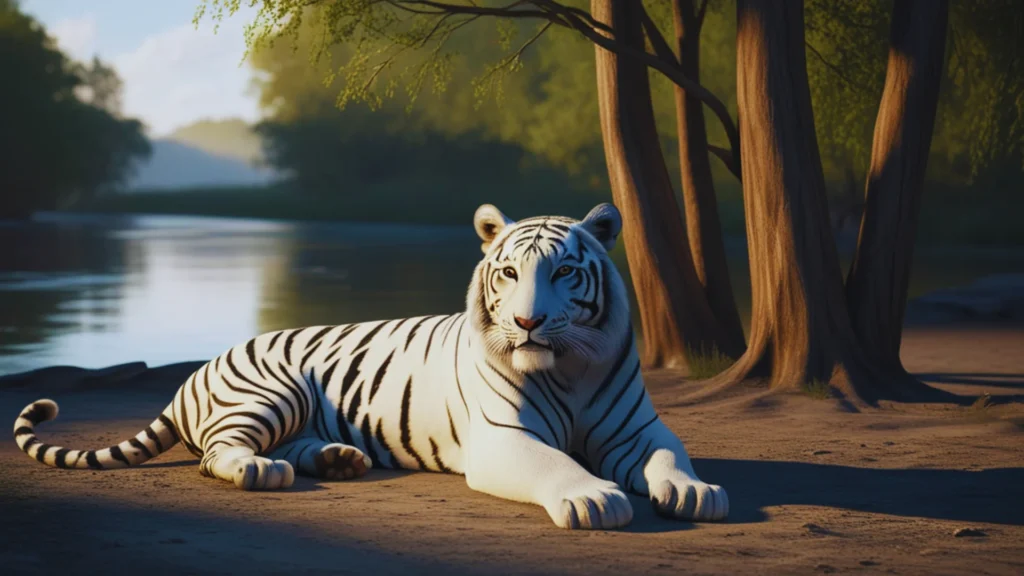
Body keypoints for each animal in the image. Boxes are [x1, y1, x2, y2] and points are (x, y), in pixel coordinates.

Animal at [13, 202, 729, 530]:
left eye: (563, 273)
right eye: (509, 274)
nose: (527, 323)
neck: (569, 369)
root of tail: (198, 369)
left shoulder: (638, 429)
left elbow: (669, 455)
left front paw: (695, 491)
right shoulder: (504, 438)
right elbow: (557, 464)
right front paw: (593, 497)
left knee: (288, 445)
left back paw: (338, 460)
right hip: (271, 392)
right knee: (220, 453)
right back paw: (261, 472)